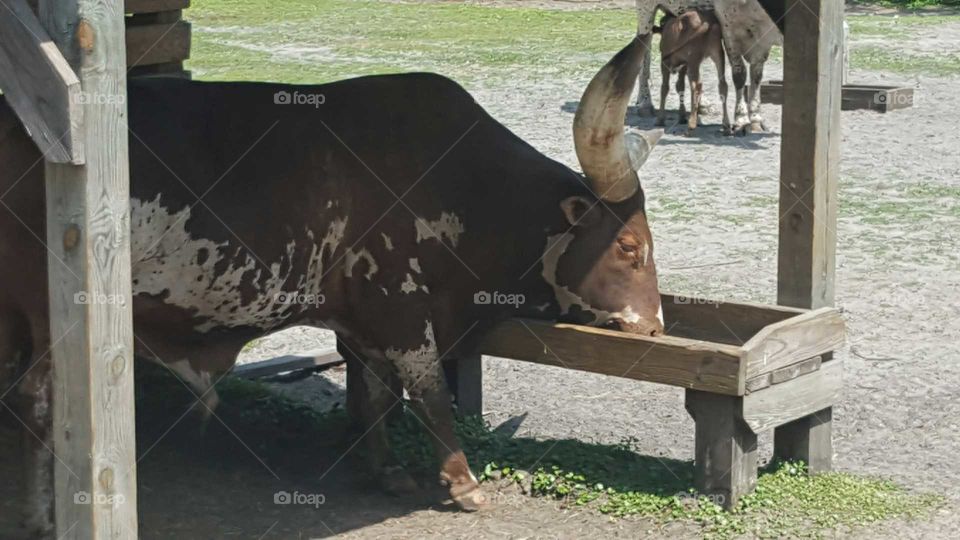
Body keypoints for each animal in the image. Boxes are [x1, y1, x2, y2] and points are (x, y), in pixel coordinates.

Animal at [0, 38, 664, 536]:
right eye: (629, 248)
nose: (655, 326)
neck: (459, 180)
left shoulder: (362, 316)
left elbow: (373, 392)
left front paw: (386, 470)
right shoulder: (402, 308)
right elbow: (429, 395)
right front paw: (463, 483)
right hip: (60, 312)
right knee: (35, 401)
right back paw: (39, 517)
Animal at [635, 0, 784, 134]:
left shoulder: (763, 40)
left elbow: (756, 77)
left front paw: (755, 119)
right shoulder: (728, 30)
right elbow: (739, 75)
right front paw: (741, 119)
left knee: (698, 84)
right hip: (645, 10)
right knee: (644, 50)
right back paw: (645, 103)